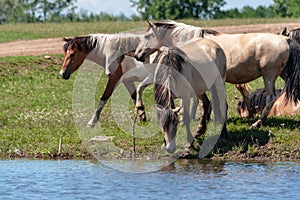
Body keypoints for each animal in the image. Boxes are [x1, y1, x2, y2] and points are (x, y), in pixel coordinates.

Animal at [136, 20, 300, 128]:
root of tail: (286, 39)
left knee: (271, 97)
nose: (138, 55)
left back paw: (257, 122)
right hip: (283, 73)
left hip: (269, 75)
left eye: (146, 37)